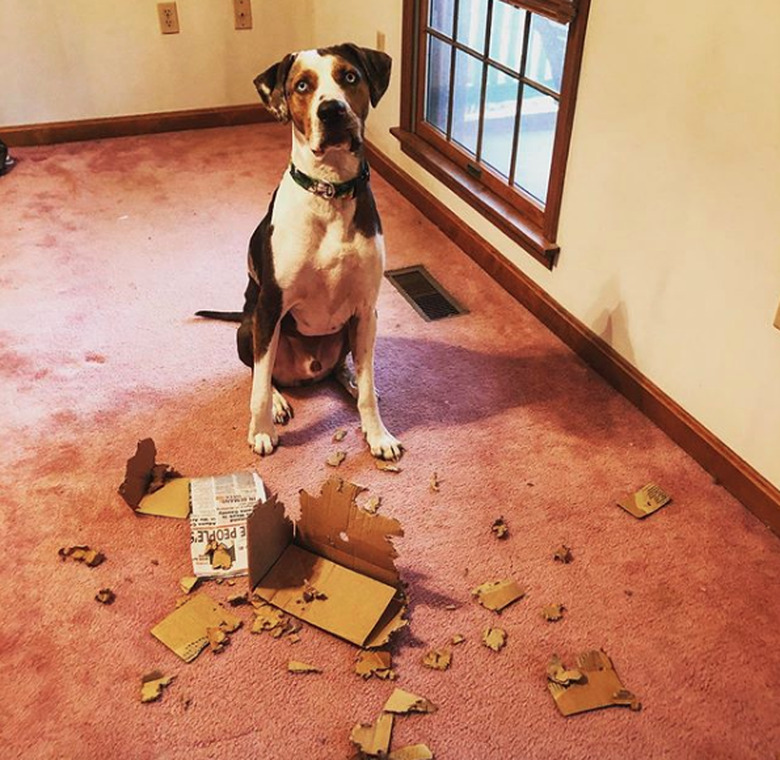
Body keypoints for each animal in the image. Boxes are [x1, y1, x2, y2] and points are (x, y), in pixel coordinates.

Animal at [195, 47, 402, 460]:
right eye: (302, 86)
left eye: (350, 76)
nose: (332, 110)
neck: (330, 191)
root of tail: (308, 371)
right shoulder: (271, 307)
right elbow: (258, 385)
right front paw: (261, 430)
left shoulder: (366, 308)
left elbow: (369, 388)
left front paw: (377, 434)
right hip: (249, 326)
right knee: (262, 371)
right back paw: (278, 401)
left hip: (349, 331)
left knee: (345, 369)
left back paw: (350, 381)